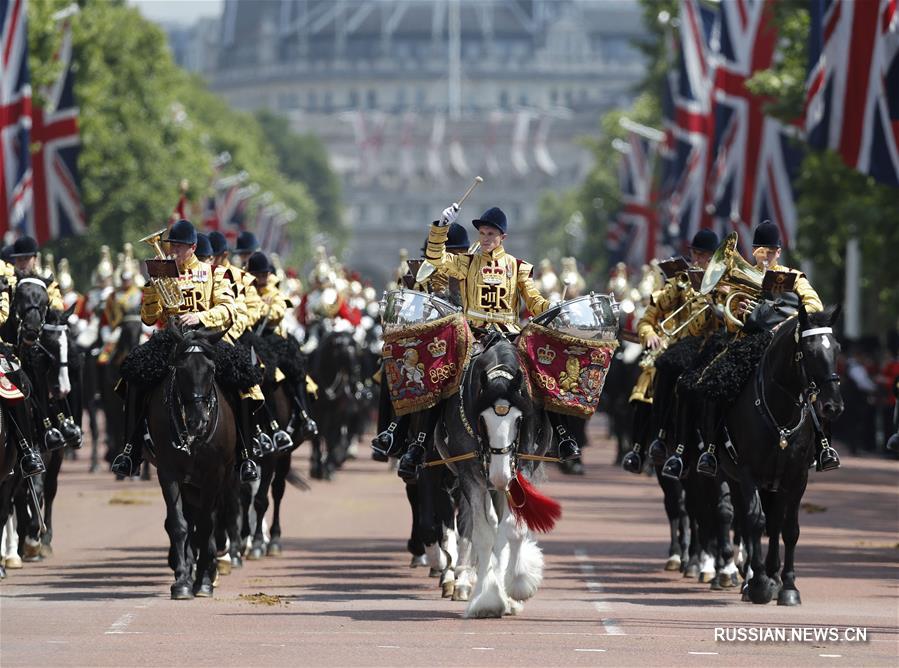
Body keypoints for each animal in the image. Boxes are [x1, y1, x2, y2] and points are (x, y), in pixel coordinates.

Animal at [144, 326, 237, 596]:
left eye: (212, 370)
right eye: (181, 369)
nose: (198, 422)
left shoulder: (214, 474)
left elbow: (206, 525)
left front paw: (204, 580)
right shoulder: (168, 472)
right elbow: (179, 523)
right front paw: (183, 581)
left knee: (213, 518)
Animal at [716, 306, 844, 608]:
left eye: (837, 348)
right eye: (809, 351)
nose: (833, 406)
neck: (781, 412)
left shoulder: (796, 477)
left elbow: (789, 528)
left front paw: (788, 587)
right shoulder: (747, 473)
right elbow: (754, 520)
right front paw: (759, 584)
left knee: (774, 522)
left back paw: (771, 576)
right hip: (734, 477)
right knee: (745, 518)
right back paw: (749, 578)